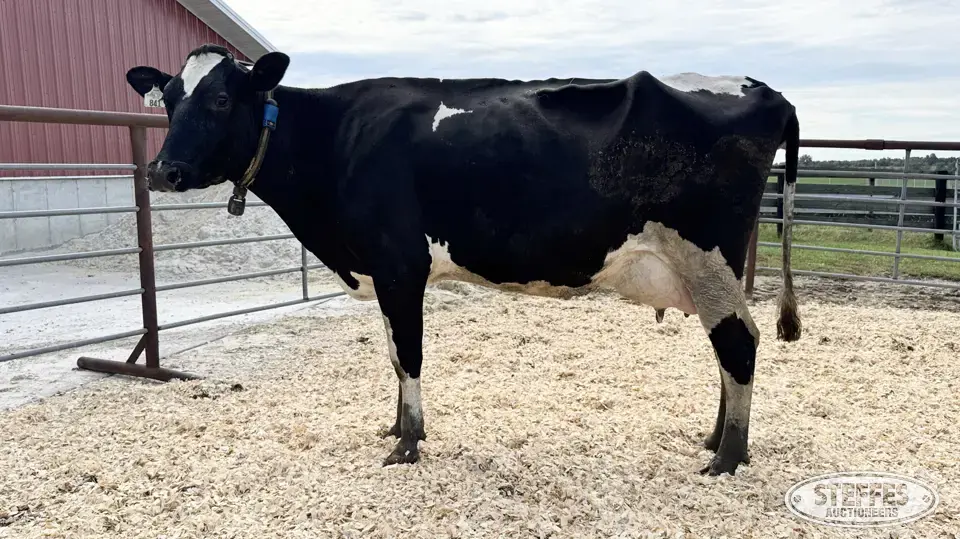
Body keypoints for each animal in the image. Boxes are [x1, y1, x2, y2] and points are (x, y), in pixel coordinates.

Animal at [125, 44, 801, 476]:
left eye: (220, 100)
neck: (336, 140)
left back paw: (727, 457)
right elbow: (393, 354)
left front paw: (407, 446)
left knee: (738, 343)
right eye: (169, 99)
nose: (162, 171)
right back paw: (715, 438)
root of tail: (765, 90)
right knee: (729, 348)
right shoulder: (382, 269)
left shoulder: (400, 264)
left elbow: (409, 353)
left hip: (705, 253)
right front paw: (396, 427)